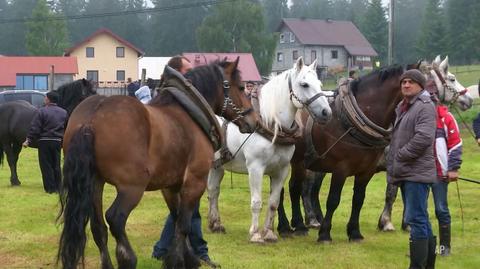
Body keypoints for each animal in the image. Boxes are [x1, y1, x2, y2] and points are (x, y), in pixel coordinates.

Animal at [58, 60, 260, 268]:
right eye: (242, 87)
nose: (255, 121)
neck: (189, 114)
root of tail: (91, 119)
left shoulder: (170, 185)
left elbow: (176, 218)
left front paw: (187, 257)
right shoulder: (195, 182)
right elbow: (184, 224)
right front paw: (178, 260)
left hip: (94, 183)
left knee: (98, 227)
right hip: (132, 187)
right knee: (115, 218)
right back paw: (128, 257)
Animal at [208, 57, 332, 242]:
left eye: (320, 84)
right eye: (304, 84)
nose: (326, 112)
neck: (270, 123)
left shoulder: (282, 170)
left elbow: (273, 202)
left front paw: (269, 233)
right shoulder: (255, 168)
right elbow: (257, 202)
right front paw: (255, 233)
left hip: (217, 166)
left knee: (213, 191)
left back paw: (215, 224)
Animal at [278, 65, 404, 241]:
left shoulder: (368, 170)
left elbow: (360, 199)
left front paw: (355, 232)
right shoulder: (341, 168)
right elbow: (333, 199)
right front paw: (325, 234)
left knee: (300, 189)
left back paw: (303, 222)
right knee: (294, 189)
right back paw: (293, 225)